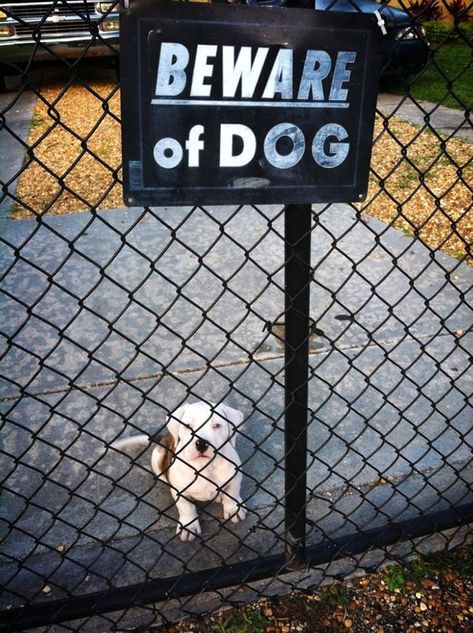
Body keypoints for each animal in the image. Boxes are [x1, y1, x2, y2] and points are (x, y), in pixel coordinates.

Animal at [109, 402, 243, 540]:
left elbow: (232, 493)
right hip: (157, 457)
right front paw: (189, 526)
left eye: (217, 425)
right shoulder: (180, 492)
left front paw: (233, 509)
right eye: (188, 426)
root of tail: (165, 437)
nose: (201, 443)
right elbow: (186, 508)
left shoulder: (235, 477)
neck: (204, 467)